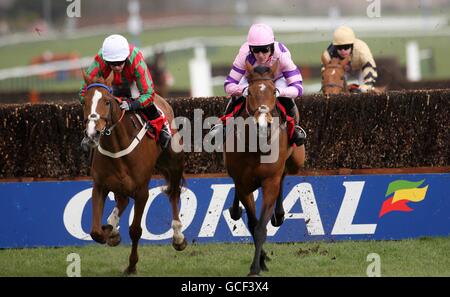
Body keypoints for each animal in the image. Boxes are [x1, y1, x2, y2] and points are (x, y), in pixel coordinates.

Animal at [81, 71, 186, 272]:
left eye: (107, 101)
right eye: (84, 102)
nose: (92, 134)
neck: (117, 147)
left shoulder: (142, 191)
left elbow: (135, 230)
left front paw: (131, 266)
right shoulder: (99, 185)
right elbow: (95, 231)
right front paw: (109, 231)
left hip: (174, 163)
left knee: (174, 193)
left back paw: (178, 236)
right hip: (119, 184)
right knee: (122, 201)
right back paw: (112, 227)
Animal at [225, 60, 306, 276]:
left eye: (274, 92)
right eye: (250, 93)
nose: (263, 125)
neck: (257, 146)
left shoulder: (270, 181)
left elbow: (261, 227)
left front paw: (256, 266)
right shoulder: (243, 184)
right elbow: (253, 224)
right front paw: (259, 261)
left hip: (297, 160)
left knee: (285, 174)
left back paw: (279, 215)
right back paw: (235, 209)